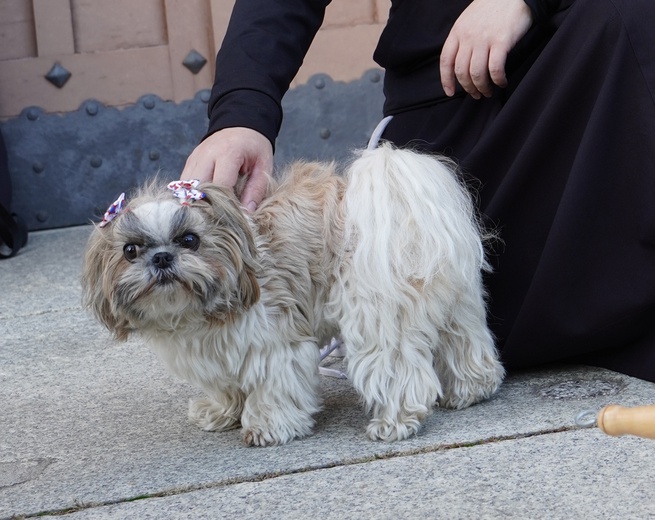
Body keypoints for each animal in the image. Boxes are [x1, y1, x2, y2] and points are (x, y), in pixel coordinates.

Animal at [82, 143, 502, 446]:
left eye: (190, 240)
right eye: (130, 251)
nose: (161, 257)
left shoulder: (275, 344)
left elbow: (274, 387)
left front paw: (267, 426)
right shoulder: (215, 353)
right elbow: (225, 384)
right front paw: (221, 411)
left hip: (377, 316)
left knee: (396, 369)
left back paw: (395, 421)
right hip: (457, 305)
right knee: (466, 344)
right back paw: (470, 389)